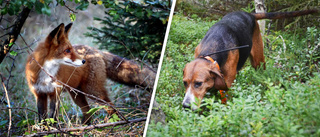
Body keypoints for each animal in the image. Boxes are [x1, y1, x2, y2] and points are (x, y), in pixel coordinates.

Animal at [182, 9, 318, 110]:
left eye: (198, 83)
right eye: (184, 83)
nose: (185, 106)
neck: (212, 49)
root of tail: (249, 13)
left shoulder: (227, 85)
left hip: (258, 61)